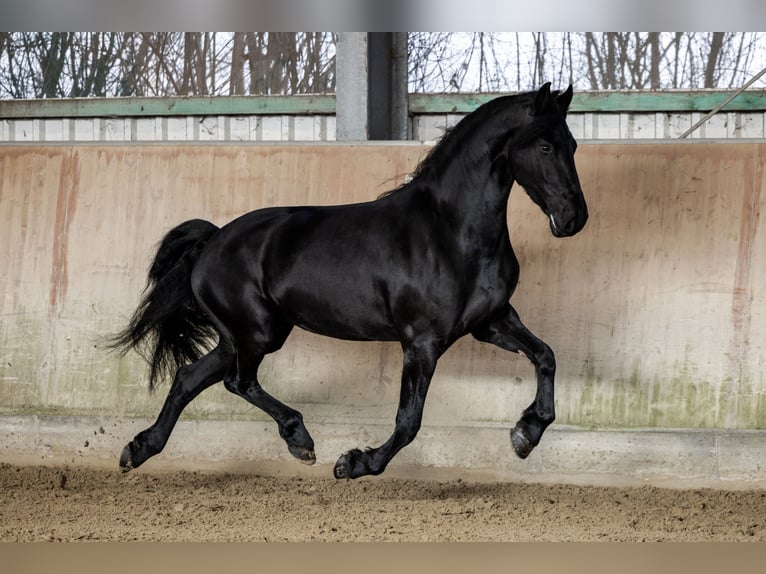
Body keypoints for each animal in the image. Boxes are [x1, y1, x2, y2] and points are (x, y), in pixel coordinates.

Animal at [111, 83, 588, 482]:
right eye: (545, 145)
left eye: (573, 145)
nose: (574, 219)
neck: (450, 232)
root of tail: (212, 241)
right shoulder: (422, 342)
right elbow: (408, 421)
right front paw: (356, 462)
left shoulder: (490, 322)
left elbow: (546, 356)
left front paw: (526, 433)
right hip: (257, 334)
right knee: (237, 381)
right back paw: (301, 441)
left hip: (242, 335)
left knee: (190, 377)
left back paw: (139, 449)